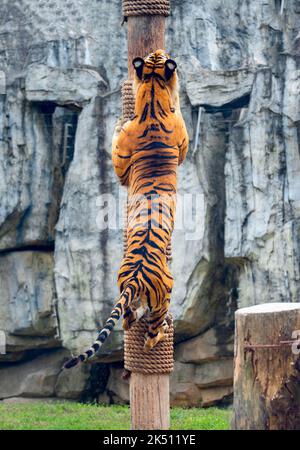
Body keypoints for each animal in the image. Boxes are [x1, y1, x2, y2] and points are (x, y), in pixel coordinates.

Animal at [64, 49, 189, 370]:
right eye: (161, 56)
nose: (159, 52)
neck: (153, 96)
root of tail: (135, 276)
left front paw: (118, 122)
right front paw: (118, 121)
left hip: (124, 291)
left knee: (128, 318)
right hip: (164, 295)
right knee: (151, 331)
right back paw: (162, 332)